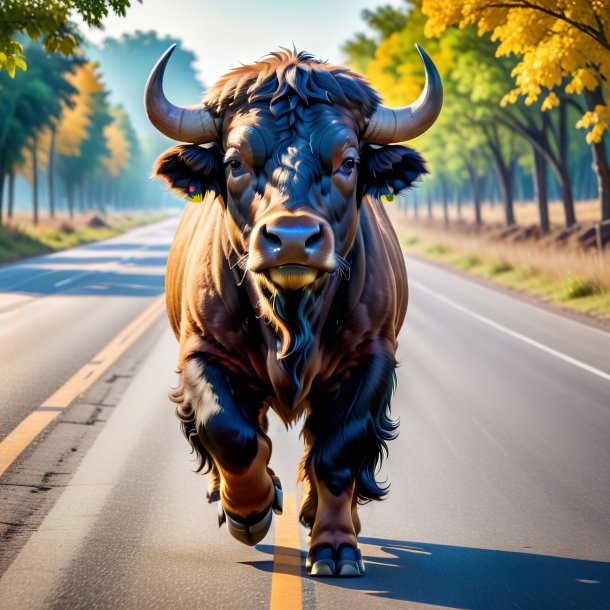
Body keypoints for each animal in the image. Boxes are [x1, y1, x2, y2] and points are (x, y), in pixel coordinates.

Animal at [145, 44, 440, 576]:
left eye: (348, 162)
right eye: (235, 162)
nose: (293, 239)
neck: (291, 315)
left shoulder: (372, 360)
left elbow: (338, 452)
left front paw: (336, 546)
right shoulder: (202, 351)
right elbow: (229, 431)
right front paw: (251, 511)